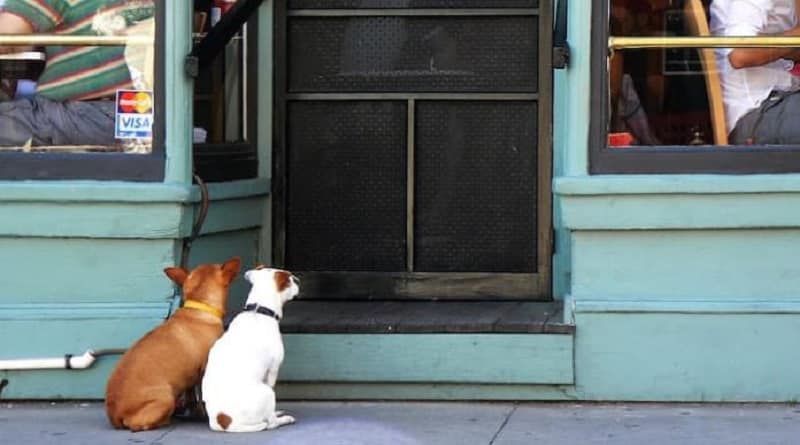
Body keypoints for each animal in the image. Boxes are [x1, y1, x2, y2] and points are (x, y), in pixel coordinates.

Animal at [104, 256, 241, 430]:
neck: (199, 308)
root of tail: (114, 415)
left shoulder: (191, 376)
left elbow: (192, 396)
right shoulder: (204, 369)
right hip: (166, 397)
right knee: (137, 425)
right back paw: (166, 419)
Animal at [200, 266, 300, 432]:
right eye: (290, 279)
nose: (298, 280)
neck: (258, 310)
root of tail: (224, 419)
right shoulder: (273, 369)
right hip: (267, 393)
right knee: (271, 423)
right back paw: (283, 419)